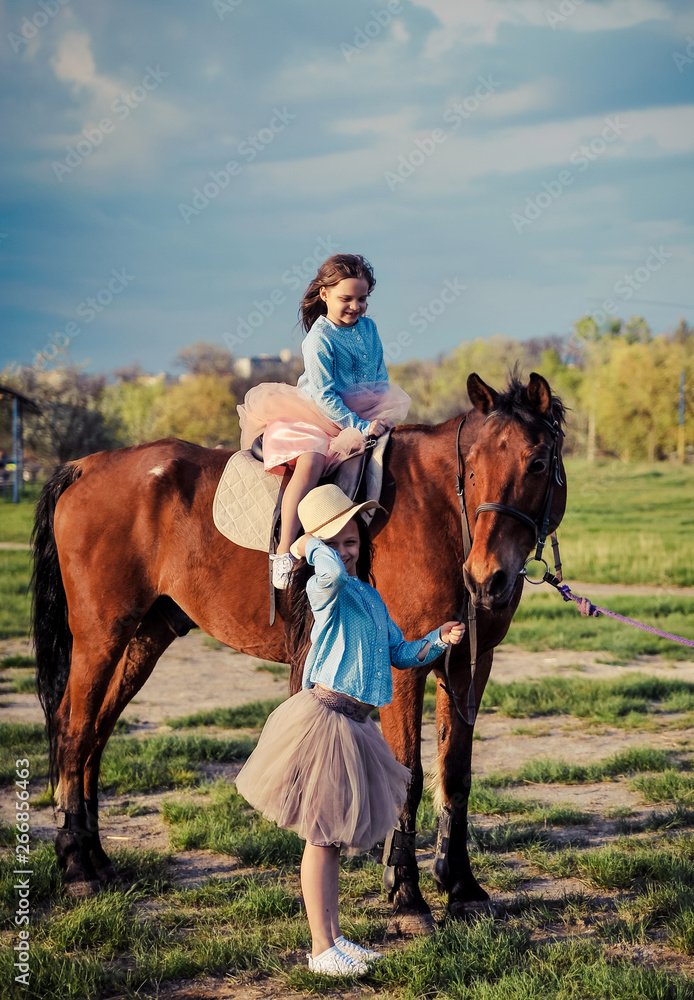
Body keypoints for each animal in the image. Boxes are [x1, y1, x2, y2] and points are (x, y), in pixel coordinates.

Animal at [32, 372, 564, 924]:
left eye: (537, 463)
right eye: (473, 468)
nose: (486, 577)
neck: (438, 512)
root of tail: (87, 465)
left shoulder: (468, 665)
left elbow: (455, 776)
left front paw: (460, 886)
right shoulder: (404, 670)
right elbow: (410, 777)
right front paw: (406, 895)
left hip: (144, 636)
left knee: (96, 735)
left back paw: (96, 856)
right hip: (100, 634)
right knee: (73, 730)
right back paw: (77, 866)